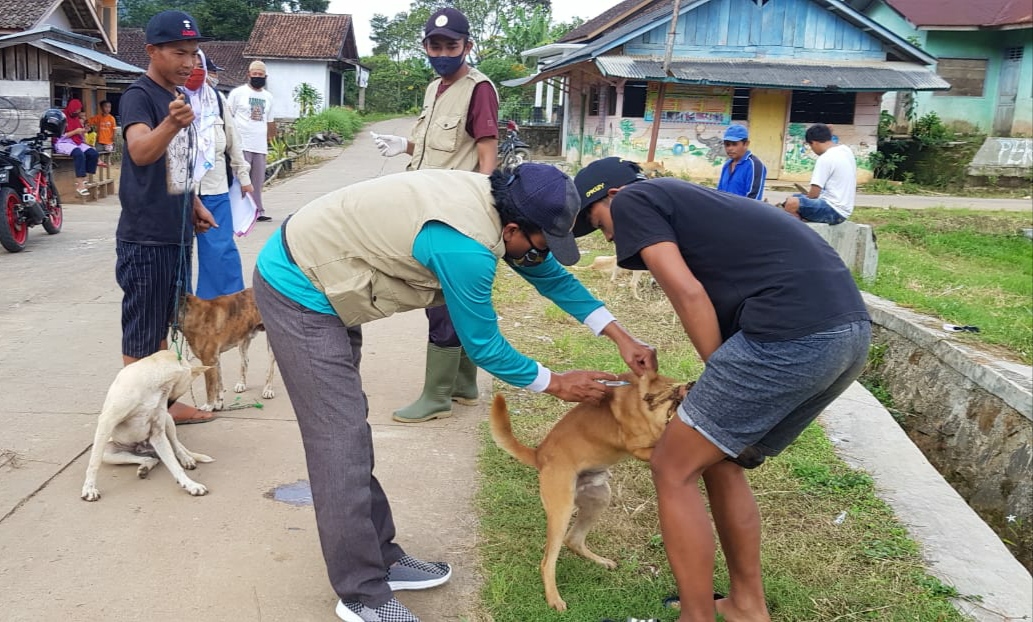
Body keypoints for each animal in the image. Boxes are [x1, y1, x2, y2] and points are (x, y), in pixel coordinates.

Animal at [82, 349, 215, 498]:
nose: (169, 406)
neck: (155, 384)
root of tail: (144, 448)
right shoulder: (107, 421)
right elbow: (94, 461)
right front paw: (89, 488)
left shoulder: (157, 434)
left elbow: (175, 466)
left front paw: (191, 485)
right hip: (108, 452)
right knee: (149, 459)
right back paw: (145, 467)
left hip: (168, 422)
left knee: (175, 446)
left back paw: (185, 458)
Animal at [487, 369, 690, 607]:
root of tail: (539, 455)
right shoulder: (640, 448)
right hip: (562, 512)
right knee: (547, 562)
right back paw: (554, 597)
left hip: (599, 499)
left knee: (573, 540)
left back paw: (600, 561)